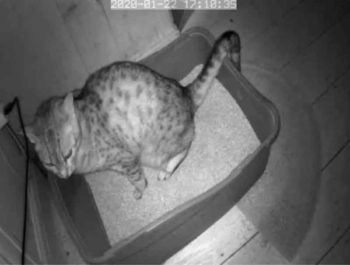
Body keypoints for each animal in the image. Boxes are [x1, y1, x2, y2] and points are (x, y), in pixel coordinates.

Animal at [24, 30, 241, 198]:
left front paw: (139, 190)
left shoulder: (126, 158)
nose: (63, 174)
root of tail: (184, 91)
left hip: (157, 149)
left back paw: (167, 169)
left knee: (185, 145)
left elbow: (136, 178)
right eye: (49, 164)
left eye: (67, 154)